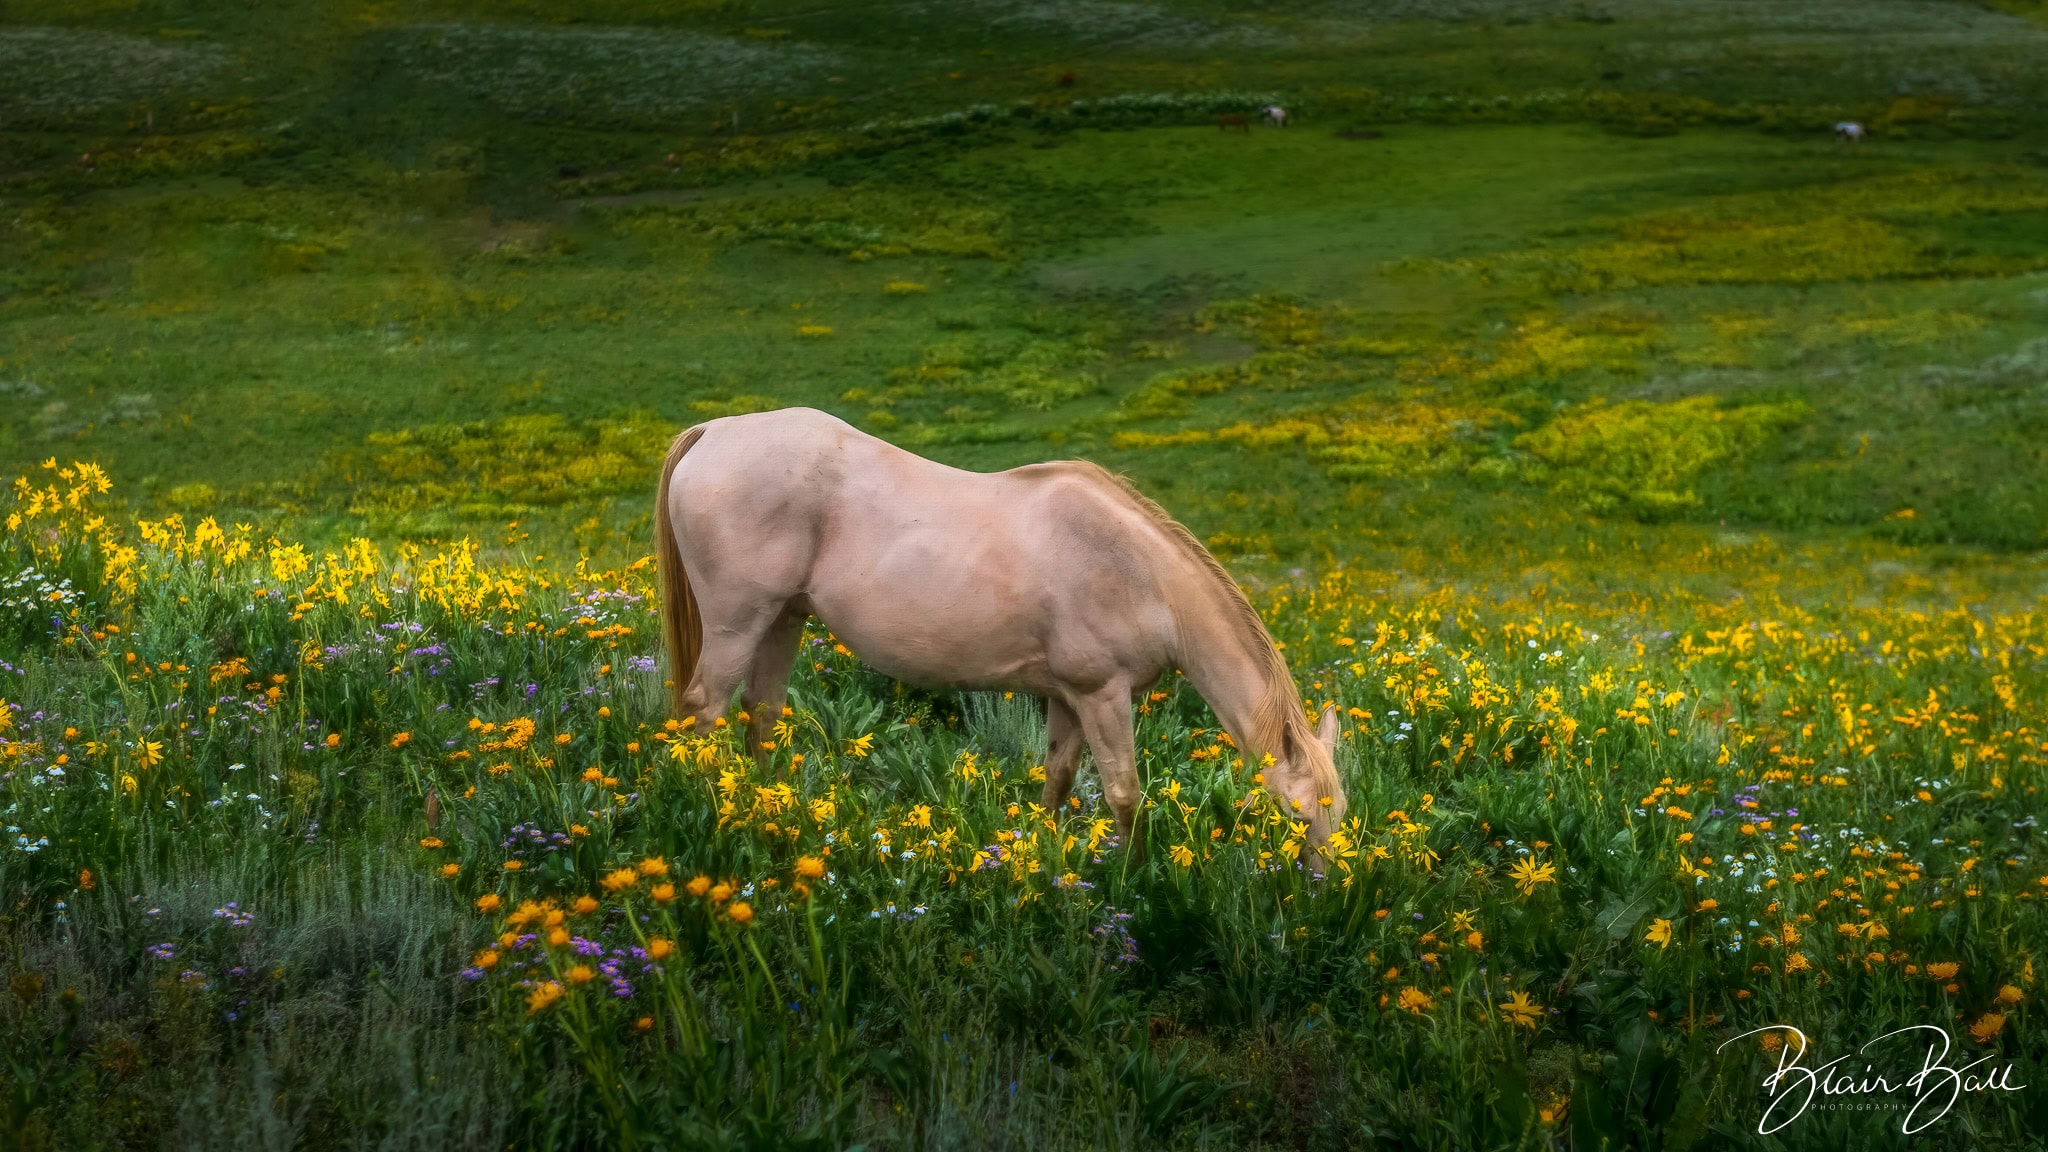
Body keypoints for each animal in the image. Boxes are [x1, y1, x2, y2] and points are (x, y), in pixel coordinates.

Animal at [654, 408, 1348, 851]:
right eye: (1296, 812)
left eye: (1337, 811)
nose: (1323, 890)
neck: (1139, 574)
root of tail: (715, 432)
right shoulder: (1102, 694)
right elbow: (1124, 793)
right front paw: (1131, 881)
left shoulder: (1069, 698)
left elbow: (1057, 782)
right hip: (736, 623)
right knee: (703, 710)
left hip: (783, 619)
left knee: (761, 713)